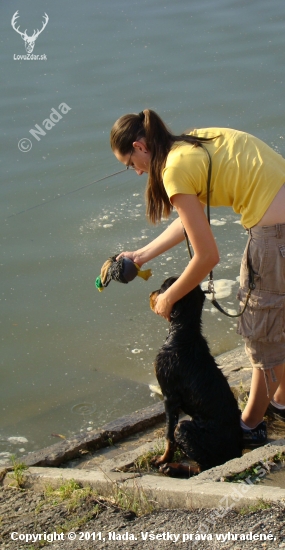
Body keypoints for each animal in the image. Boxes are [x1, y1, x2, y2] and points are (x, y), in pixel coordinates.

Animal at [149, 278, 242, 476]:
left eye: (161, 288)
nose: (151, 294)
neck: (183, 333)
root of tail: (237, 451)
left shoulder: (169, 397)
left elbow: (168, 435)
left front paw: (162, 459)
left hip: (185, 428)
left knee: (205, 466)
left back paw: (172, 468)